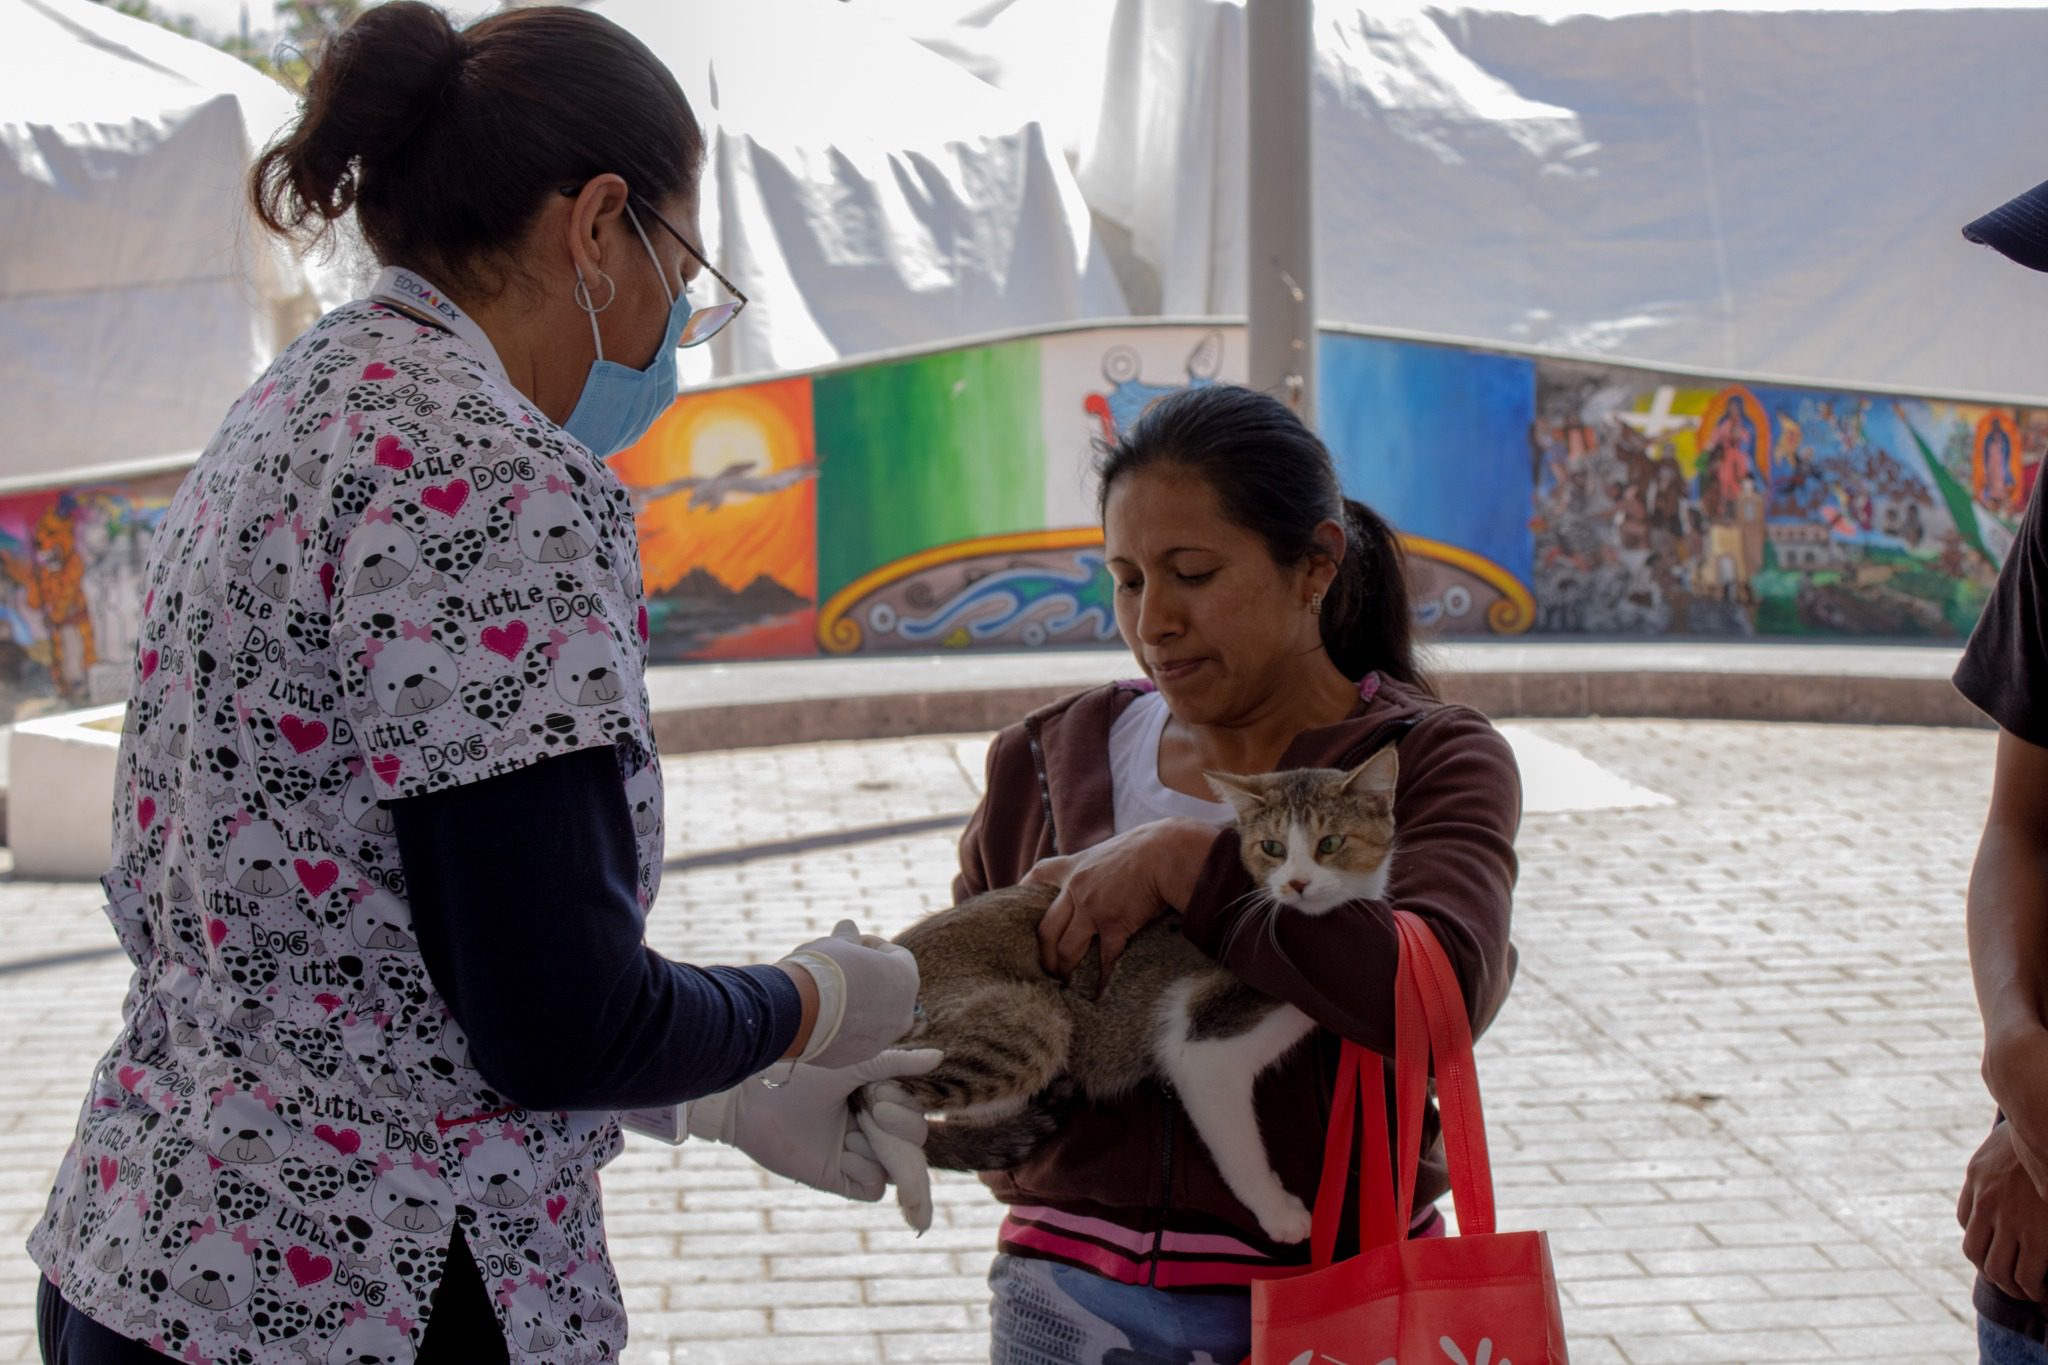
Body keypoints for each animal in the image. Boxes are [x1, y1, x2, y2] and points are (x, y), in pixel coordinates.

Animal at [856, 753, 1400, 1244]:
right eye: (1272, 847)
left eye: (1331, 843)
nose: (1296, 883)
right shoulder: (1203, 1047)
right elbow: (1240, 1149)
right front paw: (1279, 1213)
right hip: (1034, 1021)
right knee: (871, 1087)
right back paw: (914, 1192)